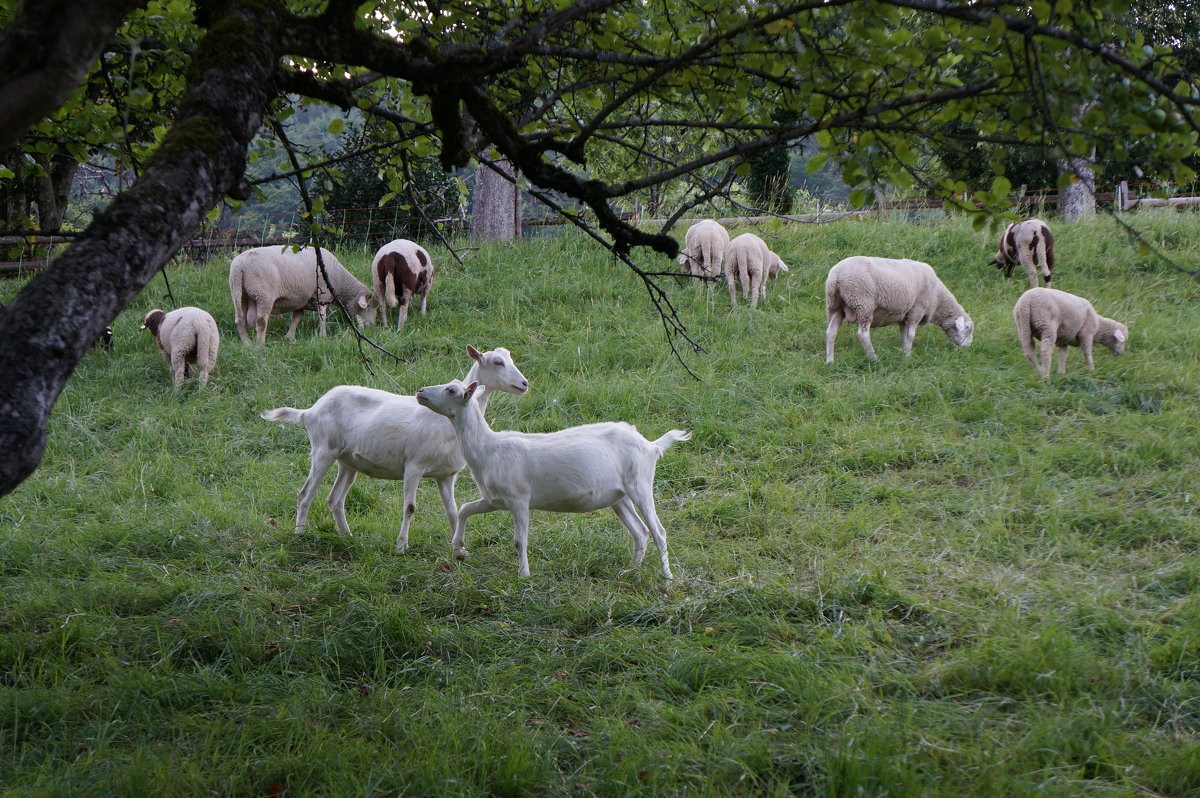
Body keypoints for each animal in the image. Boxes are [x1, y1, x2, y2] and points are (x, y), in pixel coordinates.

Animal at [225, 242, 374, 343]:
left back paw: (247, 345)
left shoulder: (301, 300)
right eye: (368, 307)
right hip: (262, 294)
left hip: (239, 293)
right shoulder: (323, 295)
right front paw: (323, 336)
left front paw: (290, 337)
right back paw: (260, 346)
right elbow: (322, 317)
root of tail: (239, 265)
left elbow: (296, 318)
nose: (372, 328)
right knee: (261, 321)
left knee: (240, 320)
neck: (340, 281)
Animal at [260, 345, 528, 556]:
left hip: (347, 461)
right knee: (305, 494)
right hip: (323, 450)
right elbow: (410, 508)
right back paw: (300, 534)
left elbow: (452, 511)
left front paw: (459, 548)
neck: (446, 424)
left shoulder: (446, 474)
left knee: (335, 499)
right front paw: (401, 547)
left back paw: (348, 537)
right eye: (498, 362)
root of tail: (310, 411)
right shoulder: (414, 466)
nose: (524, 384)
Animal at [415, 379, 691, 578]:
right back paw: (631, 569)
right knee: (640, 531)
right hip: (618, 496)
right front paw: (458, 550)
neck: (488, 449)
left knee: (658, 531)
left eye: (451, 389)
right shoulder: (495, 498)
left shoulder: (519, 498)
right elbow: (464, 508)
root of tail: (652, 446)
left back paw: (667, 578)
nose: (420, 391)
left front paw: (524, 574)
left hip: (640, 484)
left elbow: (519, 540)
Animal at [825, 256, 974, 362]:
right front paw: (907, 355)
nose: (967, 347)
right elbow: (911, 335)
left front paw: (902, 351)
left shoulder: (903, 315)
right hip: (863, 303)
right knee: (863, 334)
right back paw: (874, 358)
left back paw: (830, 361)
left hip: (836, 306)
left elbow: (904, 333)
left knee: (830, 332)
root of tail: (836, 275)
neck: (938, 299)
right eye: (968, 329)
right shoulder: (917, 309)